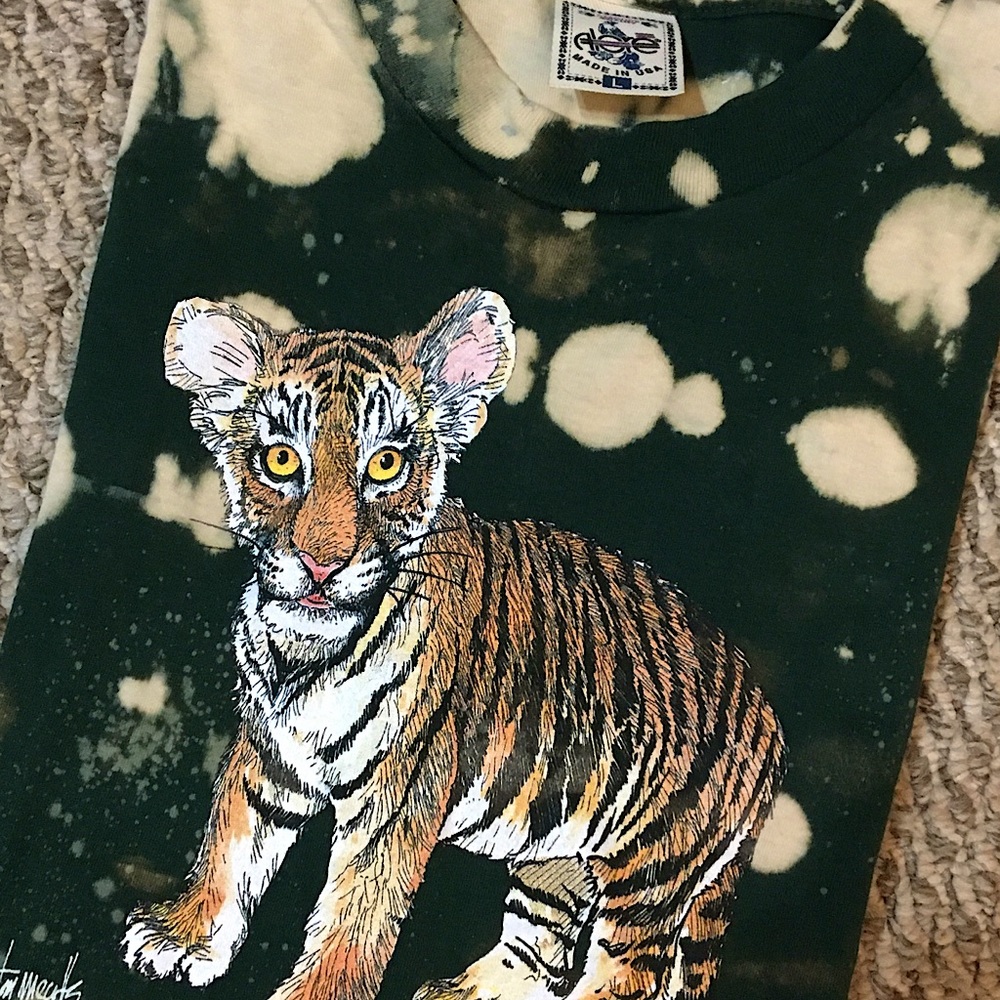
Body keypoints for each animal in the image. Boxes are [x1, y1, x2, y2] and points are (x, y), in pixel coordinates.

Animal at [121, 289, 785, 1000]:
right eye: (281, 459)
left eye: (386, 463)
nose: (322, 566)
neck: (307, 649)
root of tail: (769, 719)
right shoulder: (270, 752)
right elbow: (231, 842)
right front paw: (181, 937)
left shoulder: (399, 794)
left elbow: (356, 913)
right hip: (560, 855)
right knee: (539, 948)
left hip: (648, 872)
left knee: (628, 973)